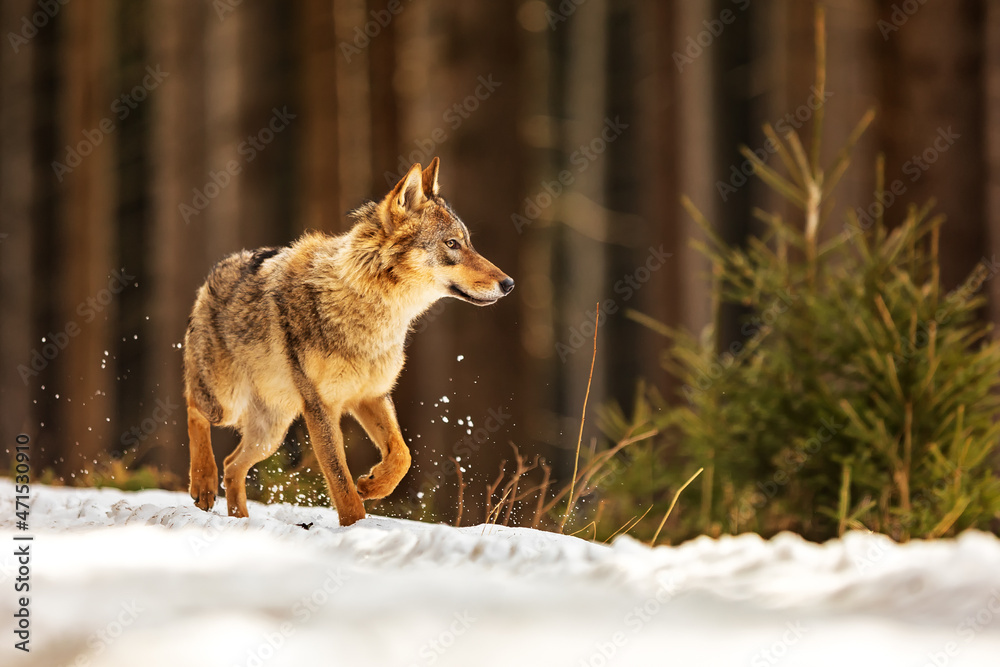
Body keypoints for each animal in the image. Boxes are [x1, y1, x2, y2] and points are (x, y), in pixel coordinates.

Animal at [183, 158, 514, 525]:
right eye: (452, 244)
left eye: (468, 243)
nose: (509, 283)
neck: (370, 311)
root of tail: (218, 269)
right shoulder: (321, 407)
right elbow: (340, 481)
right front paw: (356, 525)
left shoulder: (371, 395)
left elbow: (402, 455)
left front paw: (372, 485)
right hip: (226, 404)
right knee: (193, 408)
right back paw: (203, 483)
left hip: (272, 431)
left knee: (233, 465)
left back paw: (239, 518)